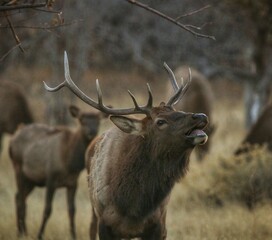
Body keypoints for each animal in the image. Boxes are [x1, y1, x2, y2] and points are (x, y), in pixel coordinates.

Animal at [8, 104, 106, 240]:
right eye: (81, 119)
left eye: (98, 120)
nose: (91, 131)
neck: (70, 162)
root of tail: (12, 139)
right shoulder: (50, 179)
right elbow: (47, 210)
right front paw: (39, 235)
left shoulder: (72, 183)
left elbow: (72, 210)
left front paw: (73, 235)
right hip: (18, 169)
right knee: (21, 200)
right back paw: (21, 233)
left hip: (31, 180)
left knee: (18, 197)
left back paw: (23, 231)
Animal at [44, 52, 209, 240]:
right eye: (160, 121)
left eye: (176, 110)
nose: (201, 116)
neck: (132, 207)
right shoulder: (105, 224)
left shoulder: (159, 225)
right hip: (94, 209)